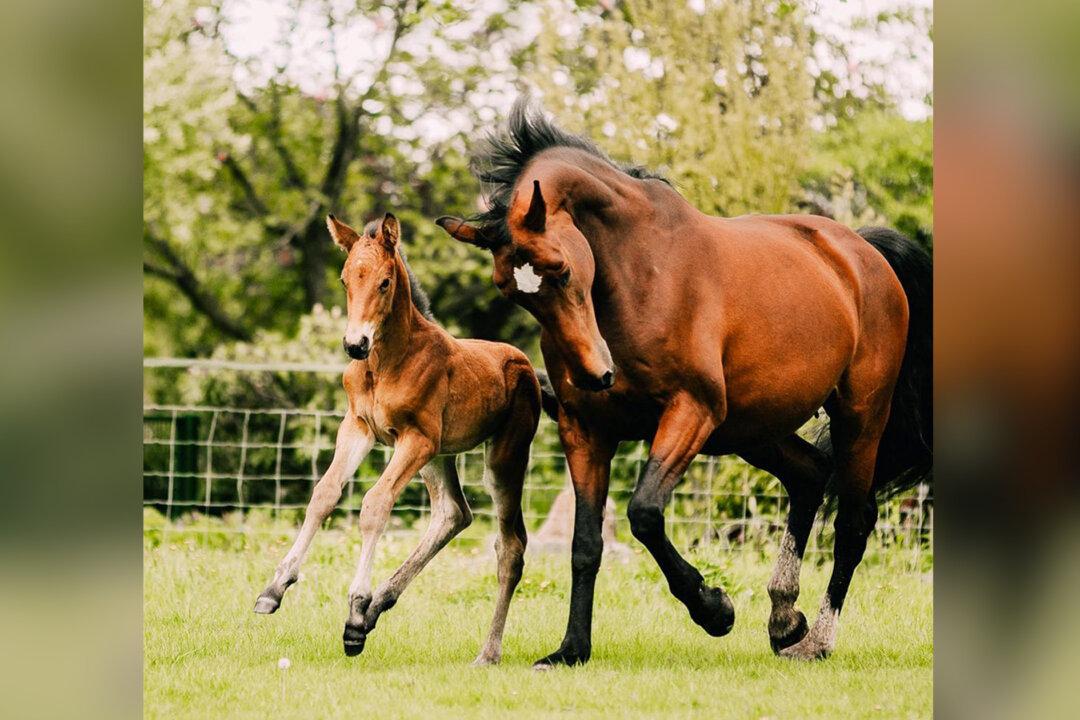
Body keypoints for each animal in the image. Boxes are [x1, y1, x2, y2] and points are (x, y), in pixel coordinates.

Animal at [254, 212, 543, 664]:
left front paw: (355, 607)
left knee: (510, 546)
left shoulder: (415, 438)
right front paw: (274, 589)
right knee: (453, 514)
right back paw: (378, 608)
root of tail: (527, 366)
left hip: (499, 458)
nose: (355, 344)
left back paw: (486, 652)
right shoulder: (358, 426)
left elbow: (375, 504)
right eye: (344, 280)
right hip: (439, 457)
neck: (386, 361)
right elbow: (325, 493)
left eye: (384, 282)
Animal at [436, 99, 932, 666]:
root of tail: (863, 254)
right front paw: (570, 649)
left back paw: (817, 639)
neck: (637, 272)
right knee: (809, 475)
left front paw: (714, 609)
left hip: (859, 416)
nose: (594, 374)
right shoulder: (586, 430)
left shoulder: (690, 411)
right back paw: (785, 620)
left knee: (854, 520)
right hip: (750, 430)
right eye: (508, 290)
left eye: (560, 270)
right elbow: (585, 545)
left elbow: (645, 513)